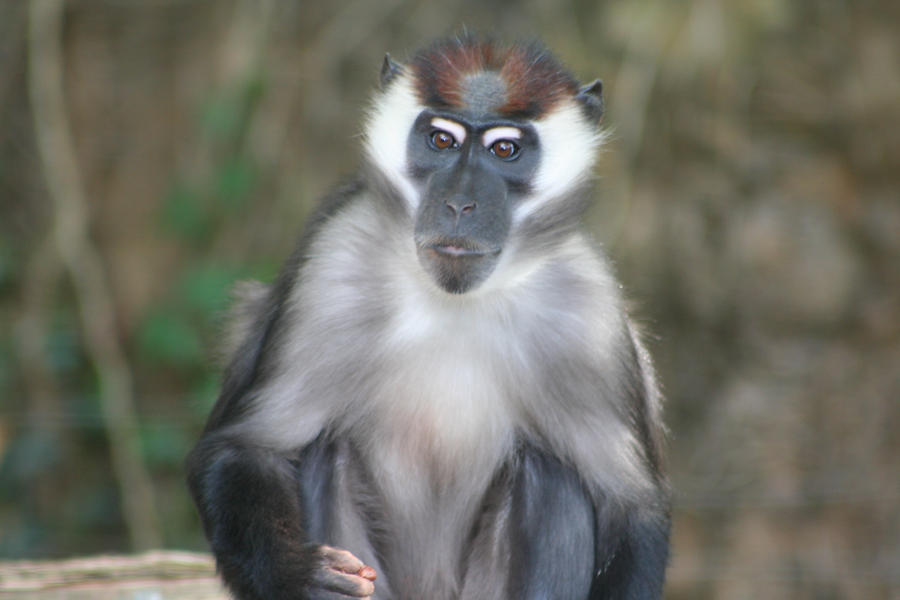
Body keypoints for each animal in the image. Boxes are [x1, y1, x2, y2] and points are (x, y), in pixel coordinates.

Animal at [187, 36, 670, 600]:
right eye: (441, 140)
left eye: (504, 149)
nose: (460, 203)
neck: (454, 301)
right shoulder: (333, 263)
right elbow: (244, 447)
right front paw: (299, 574)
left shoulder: (589, 310)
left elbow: (632, 506)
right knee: (326, 453)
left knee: (551, 472)